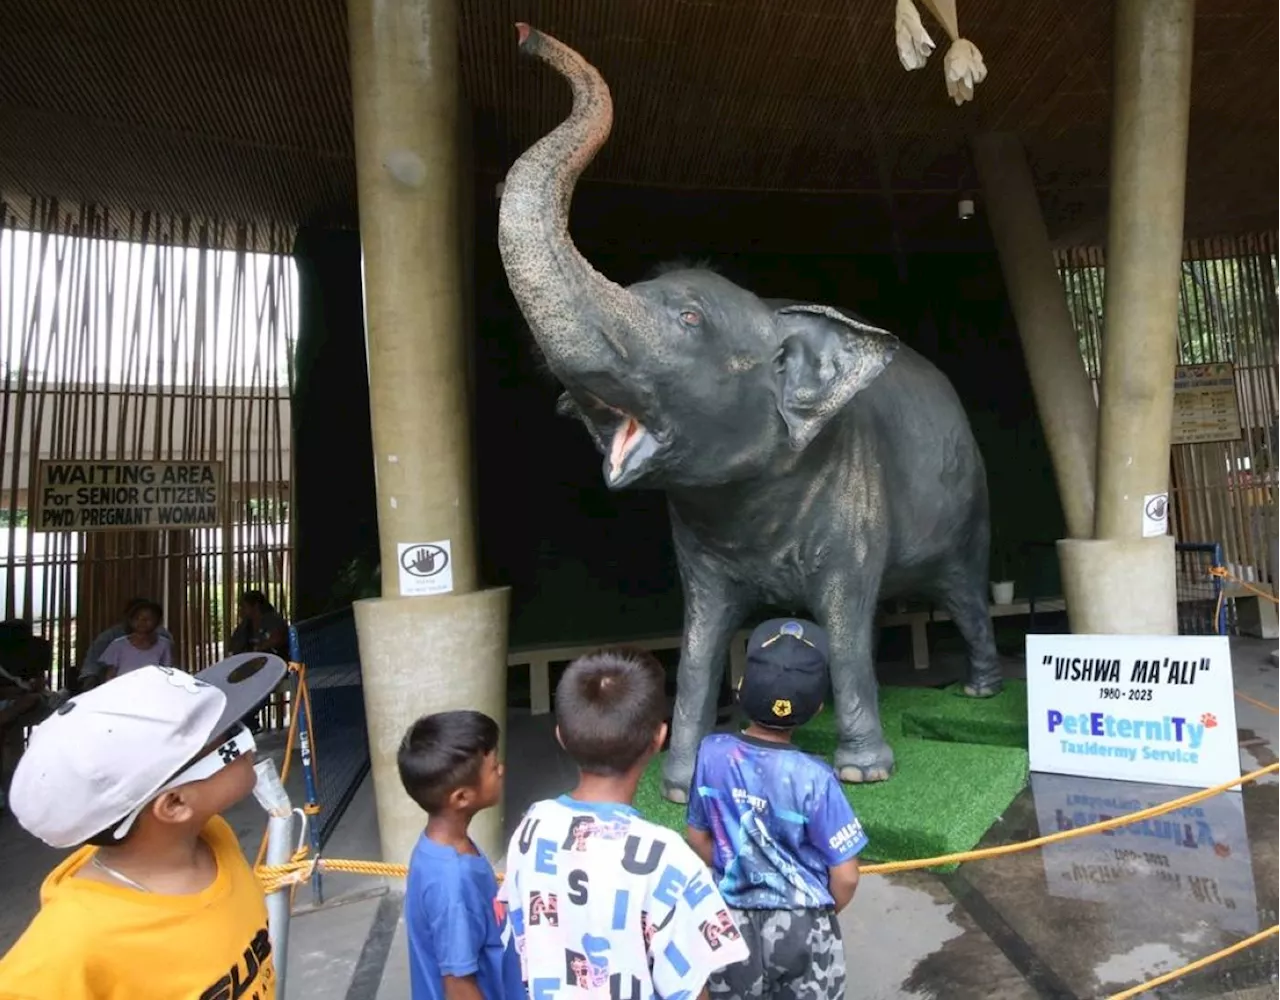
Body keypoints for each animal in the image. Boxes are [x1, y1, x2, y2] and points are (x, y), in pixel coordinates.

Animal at [496, 25, 998, 804]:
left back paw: (978, 693)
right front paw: (677, 787)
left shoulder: (852, 491)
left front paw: (864, 773)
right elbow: (701, 635)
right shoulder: (698, 544)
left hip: (970, 506)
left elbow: (843, 614)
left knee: (965, 593)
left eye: (689, 318)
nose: (524, 33)